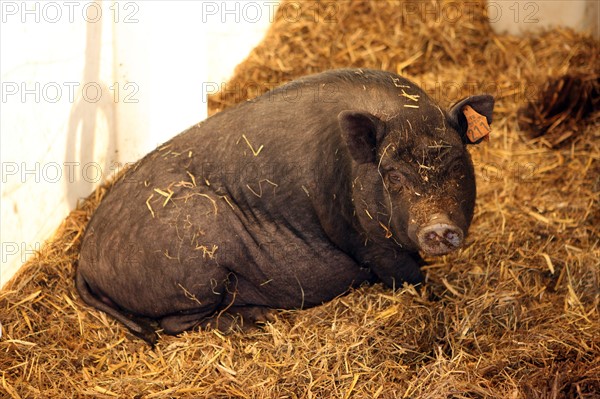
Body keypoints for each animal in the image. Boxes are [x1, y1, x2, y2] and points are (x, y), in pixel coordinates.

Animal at [77, 69, 494, 344]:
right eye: (393, 175)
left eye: (459, 162)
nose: (437, 227)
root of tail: (84, 258)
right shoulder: (369, 242)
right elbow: (410, 276)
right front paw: (439, 296)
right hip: (198, 262)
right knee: (172, 325)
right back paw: (256, 319)